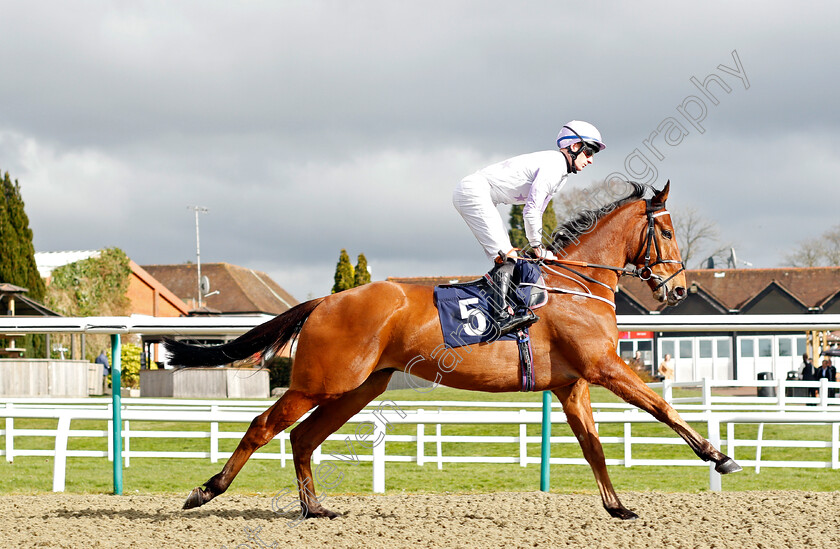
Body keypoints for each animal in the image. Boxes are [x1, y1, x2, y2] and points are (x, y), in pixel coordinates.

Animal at [169, 182, 740, 520]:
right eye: (667, 230)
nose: (678, 289)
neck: (576, 284)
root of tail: (326, 301)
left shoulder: (572, 384)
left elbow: (593, 446)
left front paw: (618, 507)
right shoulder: (605, 367)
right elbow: (662, 406)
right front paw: (718, 456)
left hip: (359, 386)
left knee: (304, 437)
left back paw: (315, 509)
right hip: (321, 381)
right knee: (264, 426)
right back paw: (206, 490)